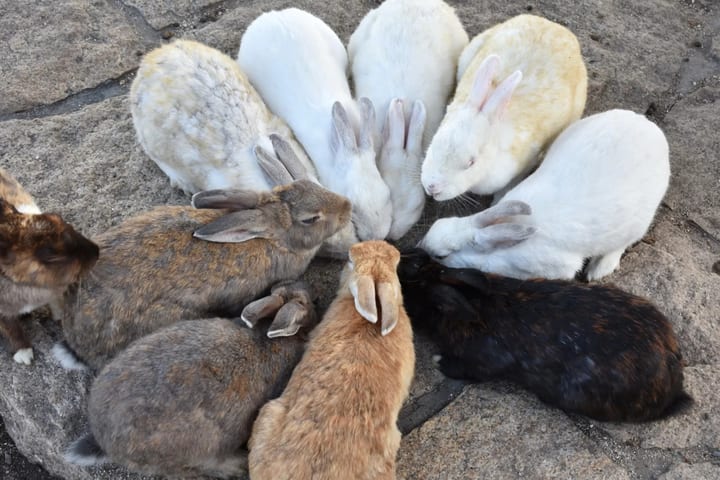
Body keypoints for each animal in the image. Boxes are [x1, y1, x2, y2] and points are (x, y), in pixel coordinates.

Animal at [0, 168, 98, 365]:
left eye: (58, 218)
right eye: (50, 255)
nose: (96, 252)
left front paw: (61, 319)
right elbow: (11, 328)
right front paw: (24, 354)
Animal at [419, 109, 670, 280]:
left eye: (441, 256)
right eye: (438, 223)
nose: (421, 246)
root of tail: (647, 125)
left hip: (638, 222)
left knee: (623, 243)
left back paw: (599, 269)